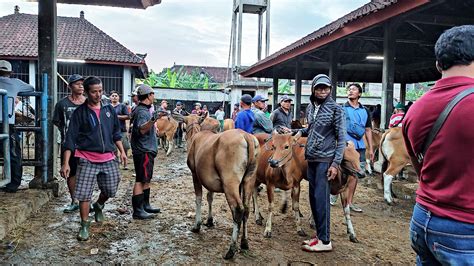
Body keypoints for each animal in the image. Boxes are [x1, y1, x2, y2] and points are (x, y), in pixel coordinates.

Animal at [184, 114, 260, 260]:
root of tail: (246, 135)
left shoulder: (195, 174)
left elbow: (198, 198)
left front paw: (197, 225)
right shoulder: (209, 180)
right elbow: (210, 197)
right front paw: (209, 220)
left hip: (230, 182)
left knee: (238, 210)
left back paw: (231, 249)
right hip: (248, 180)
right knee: (246, 209)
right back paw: (244, 242)